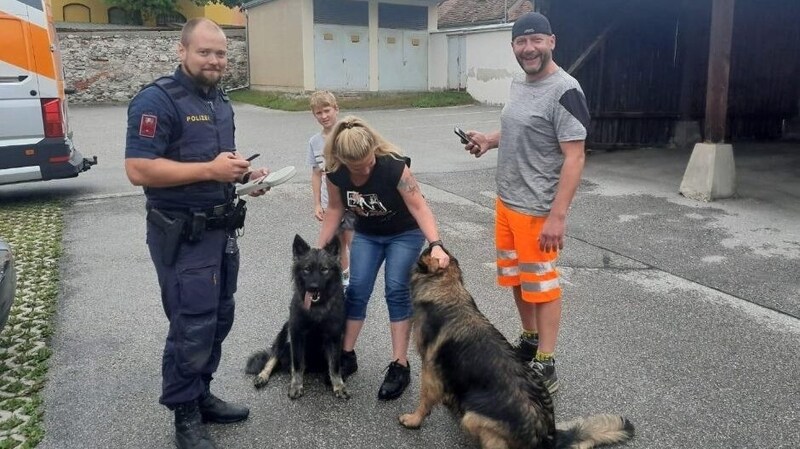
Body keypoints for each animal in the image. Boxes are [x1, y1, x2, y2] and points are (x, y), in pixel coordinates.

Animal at [241, 234, 346, 400]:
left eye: (324, 269)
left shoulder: (334, 337)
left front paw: (338, 385)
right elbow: (296, 365)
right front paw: (296, 385)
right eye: (307, 269)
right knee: (273, 357)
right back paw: (263, 375)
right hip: (285, 331)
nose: (313, 288)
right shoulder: (296, 334)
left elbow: (334, 366)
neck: (316, 308)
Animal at [400, 247, 636, 446]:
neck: (445, 289)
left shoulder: (430, 369)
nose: (434, 242)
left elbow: (425, 400)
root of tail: (547, 436)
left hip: (473, 418)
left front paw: (413, 419)